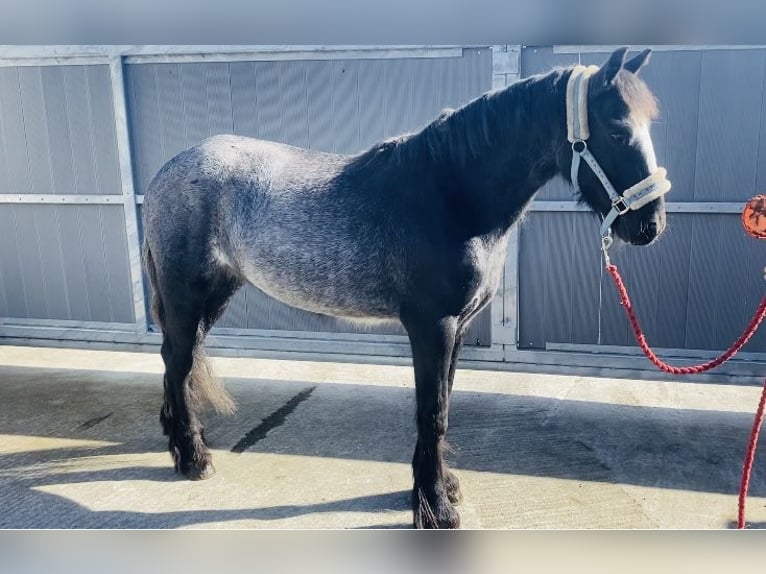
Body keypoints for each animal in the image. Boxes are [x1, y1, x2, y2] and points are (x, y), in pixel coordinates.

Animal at [144, 47, 672, 528]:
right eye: (617, 131)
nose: (650, 225)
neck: (450, 194)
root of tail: (167, 171)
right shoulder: (431, 327)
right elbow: (431, 411)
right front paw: (434, 507)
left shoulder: (457, 328)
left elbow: (444, 405)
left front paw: (442, 487)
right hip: (187, 292)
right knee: (177, 360)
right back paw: (194, 459)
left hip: (217, 291)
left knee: (180, 359)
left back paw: (178, 440)